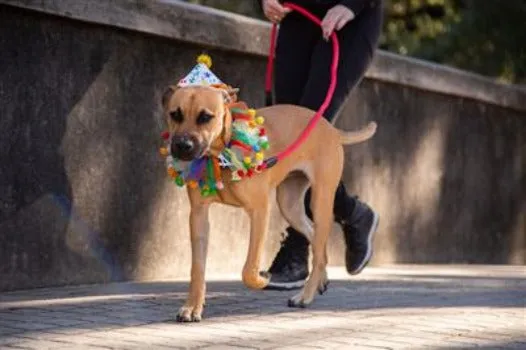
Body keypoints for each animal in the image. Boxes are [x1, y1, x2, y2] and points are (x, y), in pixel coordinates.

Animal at [163, 83, 378, 322]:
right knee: (316, 241)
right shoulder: (199, 216)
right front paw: (192, 306)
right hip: (289, 204)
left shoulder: (259, 211)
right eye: (175, 114)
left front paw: (261, 280)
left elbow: (248, 269)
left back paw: (305, 296)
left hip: (320, 201)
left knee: (319, 241)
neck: (221, 156)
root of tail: (330, 128)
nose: (182, 145)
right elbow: (197, 268)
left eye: (205, 117)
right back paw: (320, 280)